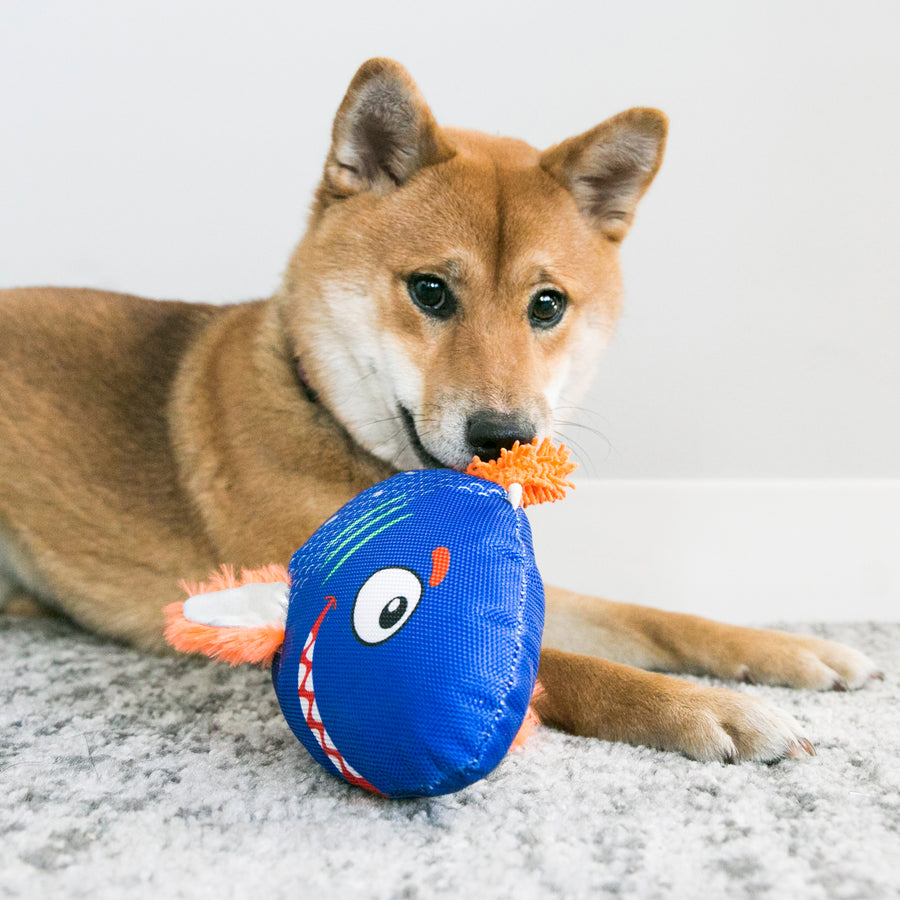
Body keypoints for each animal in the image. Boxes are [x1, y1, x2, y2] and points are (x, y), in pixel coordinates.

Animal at [0, 59, 880, 764]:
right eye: (430, 291)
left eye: (547, 305)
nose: (503, 439)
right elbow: (587, 671)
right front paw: (709, 709)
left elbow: (655, 619)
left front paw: (795, 652)